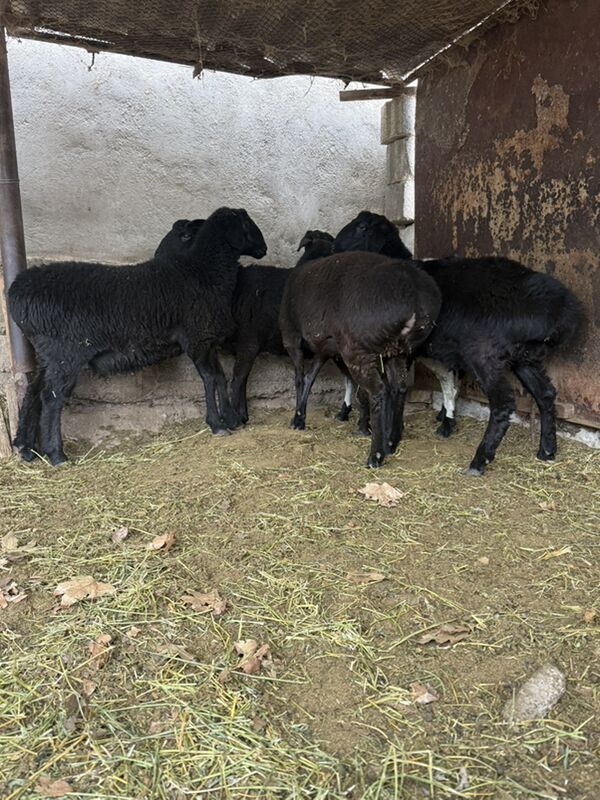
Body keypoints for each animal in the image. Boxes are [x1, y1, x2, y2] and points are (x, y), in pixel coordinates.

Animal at [8, 207, 267, 465]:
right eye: (246, 225)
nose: (264, 248)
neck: (201, 271)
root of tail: (16, 293)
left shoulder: (207, 340)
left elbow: (220, 378)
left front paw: (230, 420)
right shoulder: (197, 340)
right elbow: (210, 379)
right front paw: (217, 424)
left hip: (47, 354)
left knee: (33, 391)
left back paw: (24, 447)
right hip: (65, 353)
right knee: (52, 398)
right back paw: (56, 454)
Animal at [279, 251, 441, 467]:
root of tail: (414, 292)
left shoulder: (292, 336)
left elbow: (300, 378)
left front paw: (298, 418)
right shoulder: (330, 348)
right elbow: (313, 377)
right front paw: (362, 425)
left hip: (357, 349)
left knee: (378, 390)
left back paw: (376, 456)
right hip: (396, 350)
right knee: (398, 387)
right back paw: (391, 442)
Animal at [332, 211, 584, 474]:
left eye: (362, 227)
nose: (335, 246)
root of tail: (559, 309)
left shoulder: (404, 349)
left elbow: (396, 388)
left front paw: (391, 440)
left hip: (484, 354)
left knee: (503, 402)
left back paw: (480, 460)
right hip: (524, 357)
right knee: (545, 393)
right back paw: (547, 450)